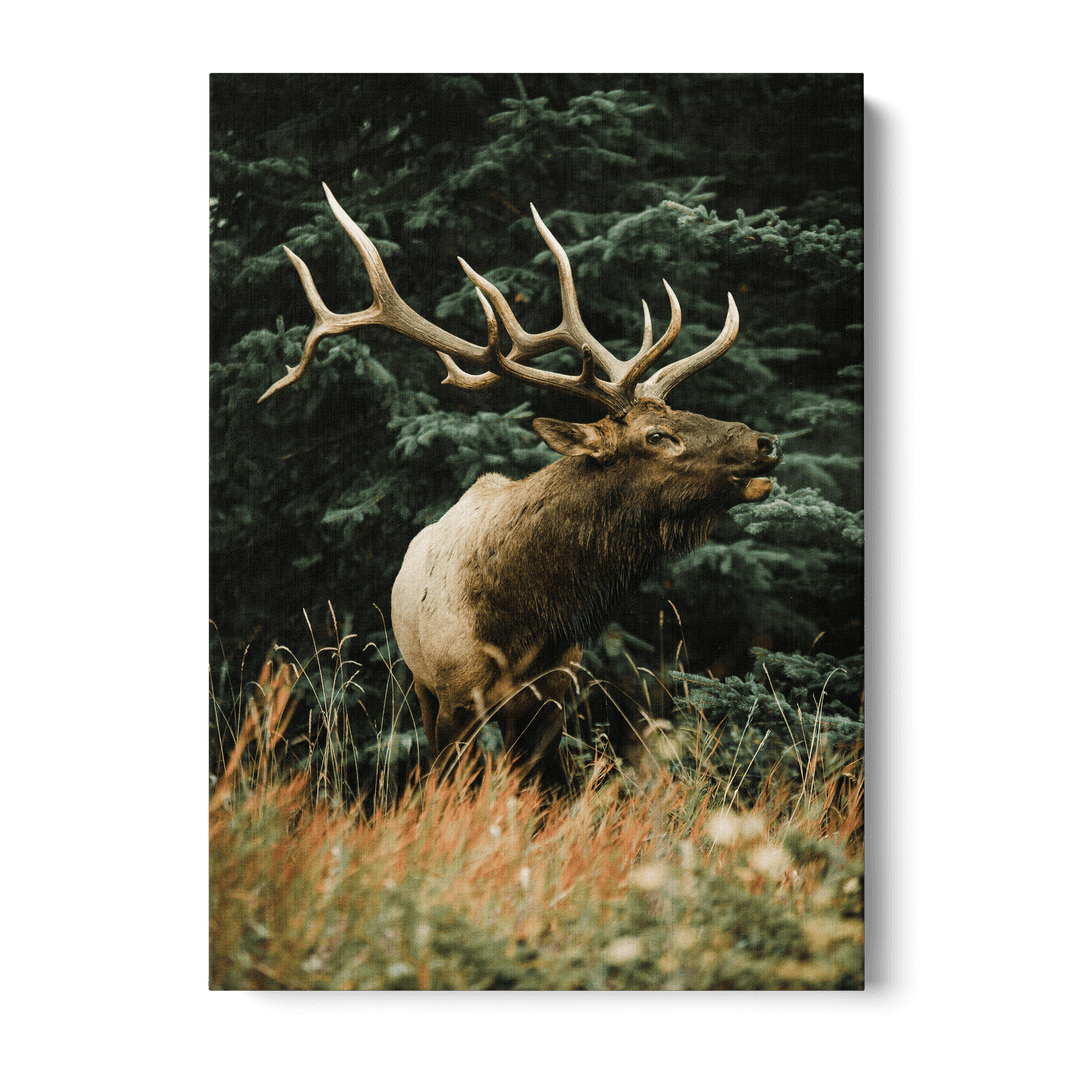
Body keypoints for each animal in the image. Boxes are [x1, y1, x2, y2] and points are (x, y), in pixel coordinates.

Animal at [259, 183, 780, 788]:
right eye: (656, 435)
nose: (765, 441)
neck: (523, 621)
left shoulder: (554, 695)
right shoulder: (455, 692)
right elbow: (450, 779)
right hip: (419, 682)